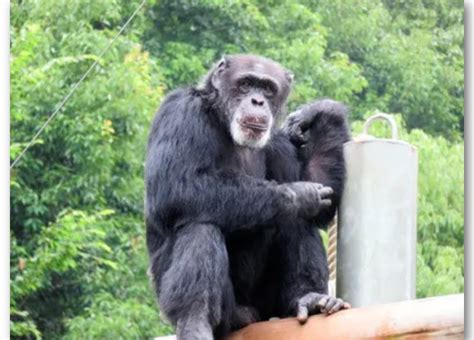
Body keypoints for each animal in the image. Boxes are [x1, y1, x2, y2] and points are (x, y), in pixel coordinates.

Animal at [146, 54, 350, 338]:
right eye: (245, 84)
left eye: (267, 89)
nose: (257, 101)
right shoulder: (180, 112)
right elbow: (175, 187)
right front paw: (297, 194)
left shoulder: (279, 143)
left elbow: (322, 197)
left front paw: (321, 110)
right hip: (222, 311)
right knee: (200, 226)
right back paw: (194, 321)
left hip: (270, 308)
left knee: (298, 221)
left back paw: (309, 298)